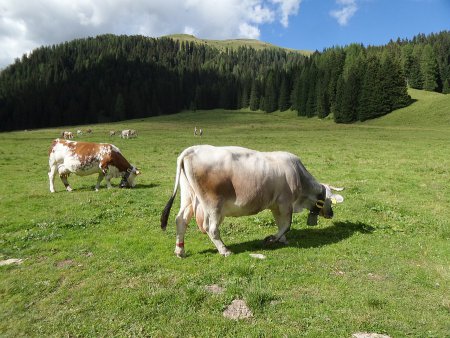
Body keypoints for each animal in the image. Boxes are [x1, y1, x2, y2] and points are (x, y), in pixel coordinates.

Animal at [162, 144, 344, 258]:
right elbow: (286, 224)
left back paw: (180, 251)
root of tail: (193, 149)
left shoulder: (275, 205)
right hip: (213, 205)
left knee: (181, 220)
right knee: (211, 228)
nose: (331, 214)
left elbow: (280, 224)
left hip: (188, 197)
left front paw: (282, 239)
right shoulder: (285, 203)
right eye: (329, 201)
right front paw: (271, 239)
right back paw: (224, 250)